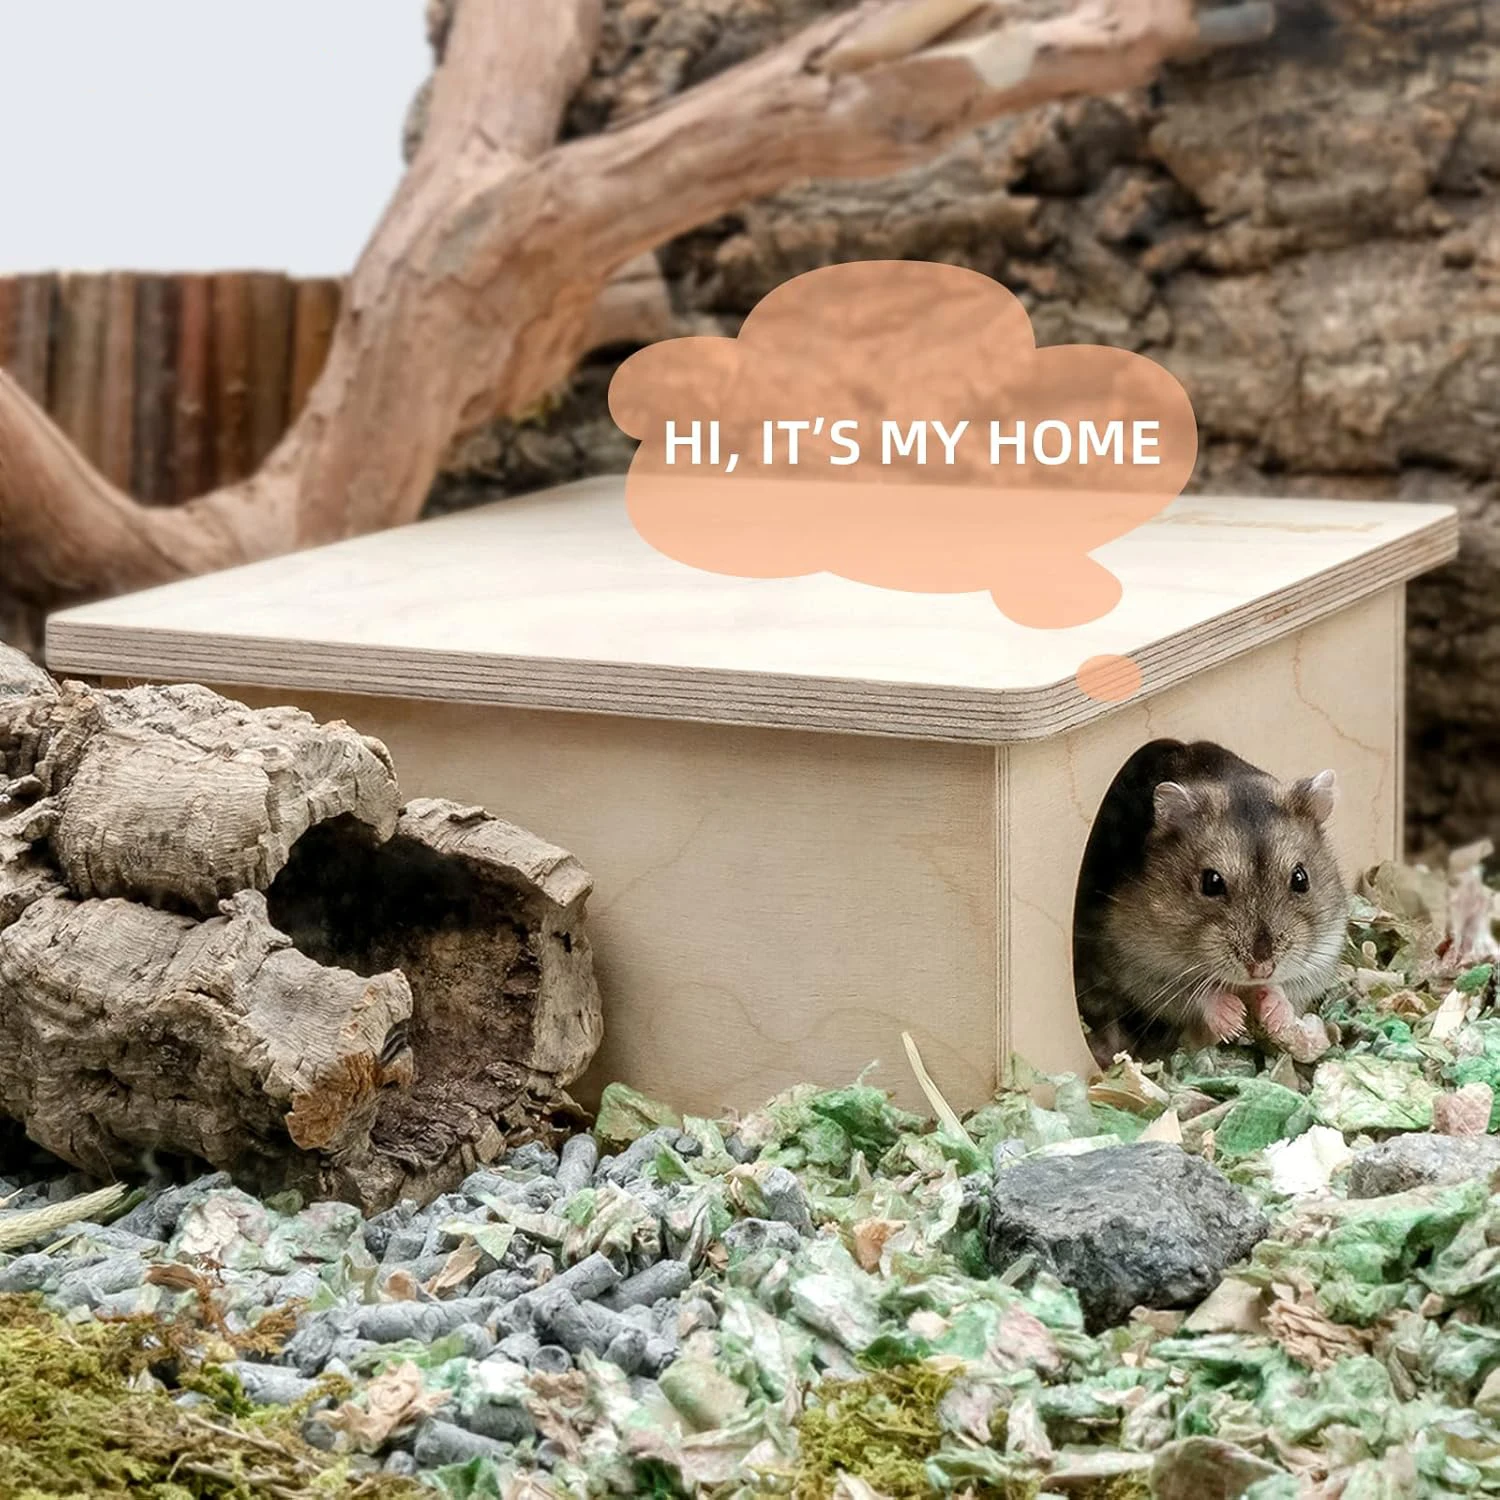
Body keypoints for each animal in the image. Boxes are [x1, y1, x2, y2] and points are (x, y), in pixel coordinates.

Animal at [1072, 738, 1348, 1068]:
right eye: (1211, 882)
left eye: (1301, 878)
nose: (1262, 969)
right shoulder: (1139, 966)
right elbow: (1195, 994)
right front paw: (1234, 1019)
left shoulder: (1323, 955)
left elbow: (1288, 988)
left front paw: (1273, 1012)